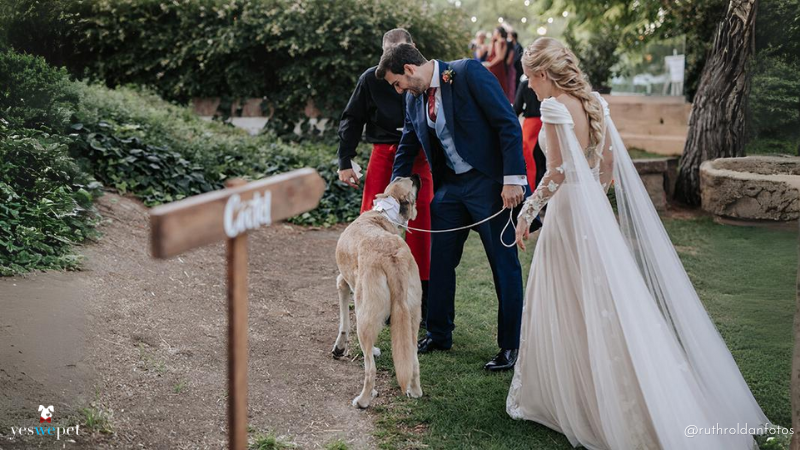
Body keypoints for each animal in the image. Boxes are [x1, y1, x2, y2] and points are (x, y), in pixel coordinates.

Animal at [330, 175, 422, 408]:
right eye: (403, 178)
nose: (416, 175)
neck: (383, 213)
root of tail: (392, 257)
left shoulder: (343, 283)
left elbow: (344, 323)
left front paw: (340, 348)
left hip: (365, 315)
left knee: (370, 369)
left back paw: (363, 400)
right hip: (412, 316)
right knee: (413, 359)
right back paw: (415, 391)